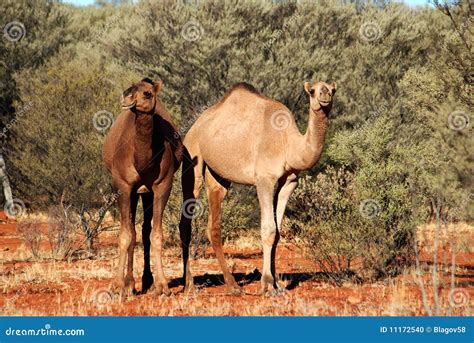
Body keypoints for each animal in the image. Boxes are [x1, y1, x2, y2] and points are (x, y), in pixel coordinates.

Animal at [103, 78, 182, 298]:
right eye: (128, 89)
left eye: (147, 93)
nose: (126, 96)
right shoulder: (122, 186)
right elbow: (124, 235)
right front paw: (117, 286)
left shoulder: (162, 185)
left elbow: (156, 234)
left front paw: (162, 286)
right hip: (133, 193)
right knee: (132, 228)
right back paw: (129, 283)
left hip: (145, 193)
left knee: (144, 230)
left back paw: (147, 281)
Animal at [178, 80, 336, 296]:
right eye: (312, 91)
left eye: (333, 89)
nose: (325, 94)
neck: (287, 142)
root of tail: (195, 125)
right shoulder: (264, 179)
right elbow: (268, 229)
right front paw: (268, 285)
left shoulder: (289, 181)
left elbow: (277, 232)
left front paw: (277, 284)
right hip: (192, 155)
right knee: (186, 218)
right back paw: (190, 284)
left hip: (219, 176)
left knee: (213, 223)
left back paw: (233, 285)